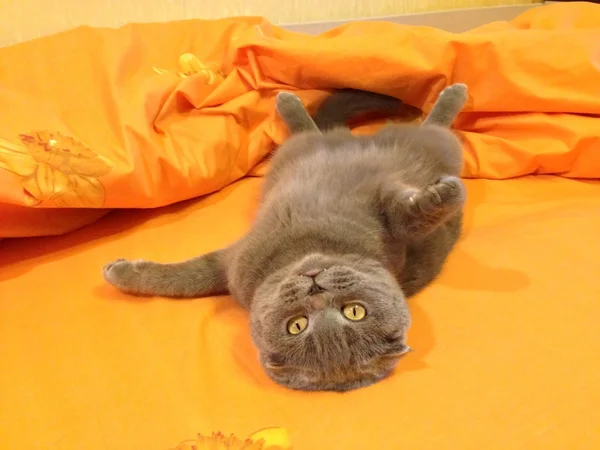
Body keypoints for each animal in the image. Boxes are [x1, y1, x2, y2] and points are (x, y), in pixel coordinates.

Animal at [103, 83, 468, 390]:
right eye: (297, 324)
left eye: (354, 311)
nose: (316, 288)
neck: (309, 247)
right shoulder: (233, 263)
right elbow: (187, 279)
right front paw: (120, 273)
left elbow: (411, 217)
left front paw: (448, 195)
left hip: (428, 145)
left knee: (435, 125)